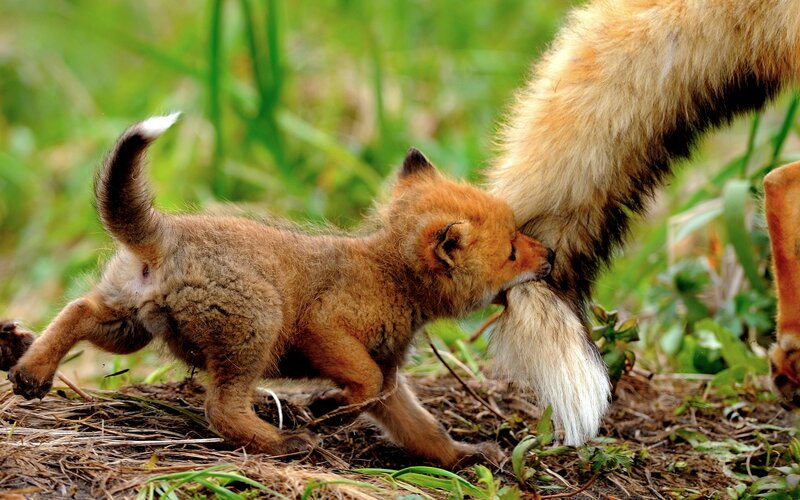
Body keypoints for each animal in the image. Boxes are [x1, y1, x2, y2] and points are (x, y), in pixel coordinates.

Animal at [2, 113, 554, 467]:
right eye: (512, 251)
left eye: (518, 237)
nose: (550, 256)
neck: (389, 276)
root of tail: (166, 233)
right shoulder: (324, 328)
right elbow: (363, 381)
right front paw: (326, 409)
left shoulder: (392, 379)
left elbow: (422, 429)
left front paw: (463, 456)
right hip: (256, 327)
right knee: (221, 409)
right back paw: (284, 443)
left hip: (128, 325)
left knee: (76, 308)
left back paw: (29, 370)